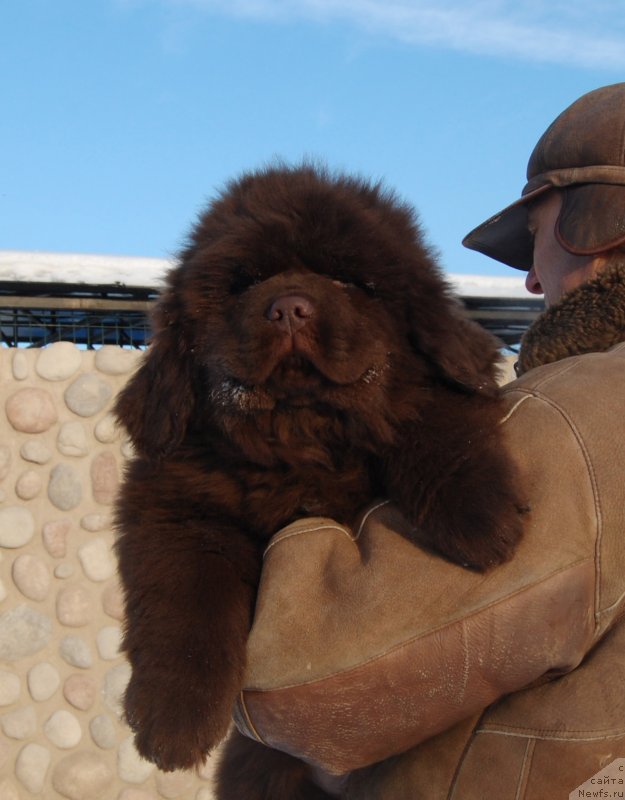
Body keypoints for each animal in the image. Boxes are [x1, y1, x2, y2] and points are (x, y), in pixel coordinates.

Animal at [116, 162, 520, 792]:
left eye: (347, 280)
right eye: (243, 284)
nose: (288, 307)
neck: (302, 441)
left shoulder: (427, 402)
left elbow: (424, 414)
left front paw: (482, 517)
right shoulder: (176, 507)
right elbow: (184, 603)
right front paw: (172, 724)